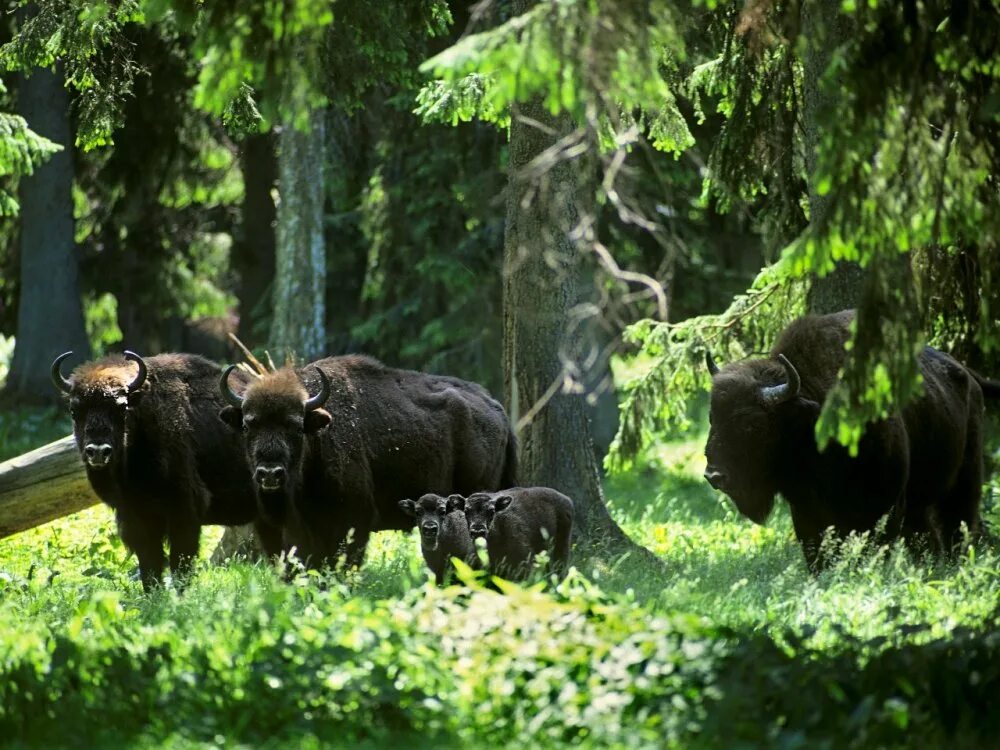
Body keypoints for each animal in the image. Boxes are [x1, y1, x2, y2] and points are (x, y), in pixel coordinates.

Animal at [53, 350, 284, 592]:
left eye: (121, 407)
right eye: (74, 410)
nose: (98, 451)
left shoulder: (183, 511)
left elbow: (179, 562)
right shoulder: (134, 517)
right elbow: (149, 563)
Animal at [704, 308, 992, 572]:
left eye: (752, 424)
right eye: (712, 418)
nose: (713, 475)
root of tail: (969, 378)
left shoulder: (885, 505)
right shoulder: (806, 511)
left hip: (963, 482)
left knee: (958, 523)